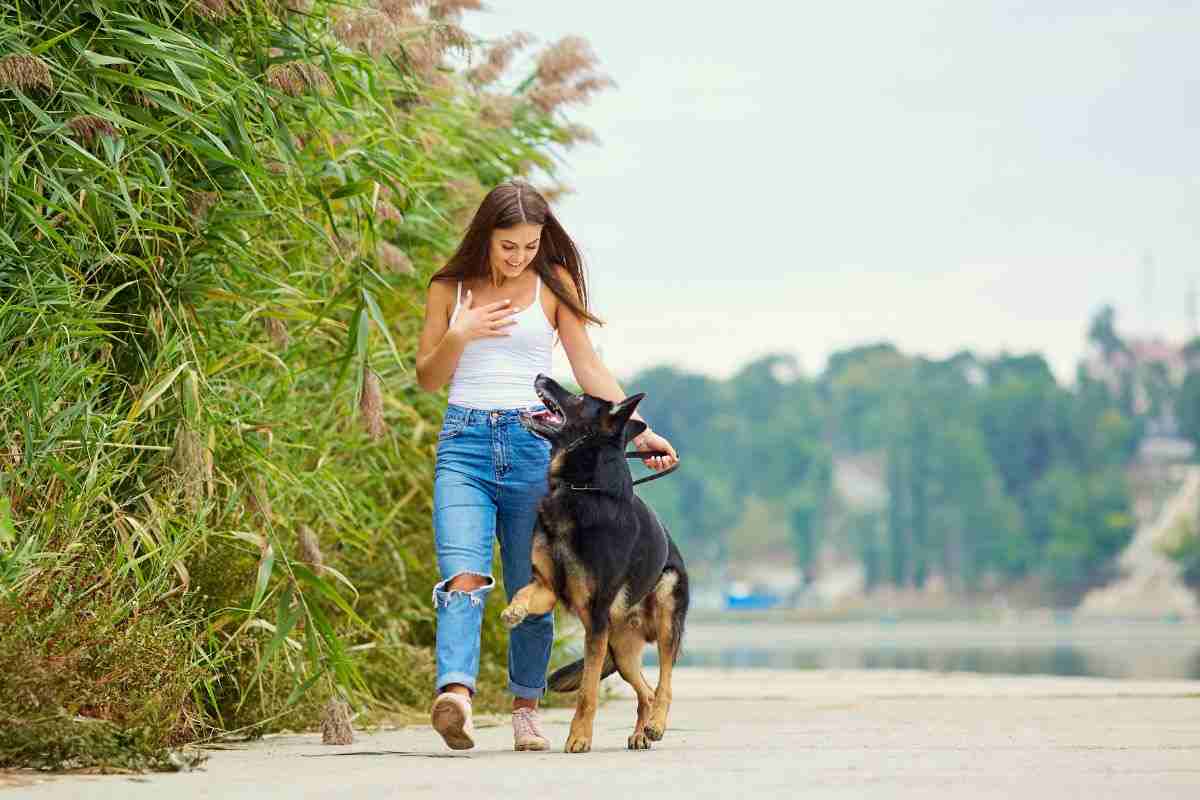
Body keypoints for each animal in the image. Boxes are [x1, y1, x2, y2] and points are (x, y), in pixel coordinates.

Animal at [499, 376, 691, 753]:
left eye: (577, 398)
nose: (541, 375)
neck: (580, 488)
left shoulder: (596, 619)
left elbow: (587, 692)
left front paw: (579, 737)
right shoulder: (547, 588)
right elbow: (524, 593)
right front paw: (514, 611)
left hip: (662, 618)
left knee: (664, 683)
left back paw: (656, 726)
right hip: (620, 650)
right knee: (645, 691)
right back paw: (640, 733)